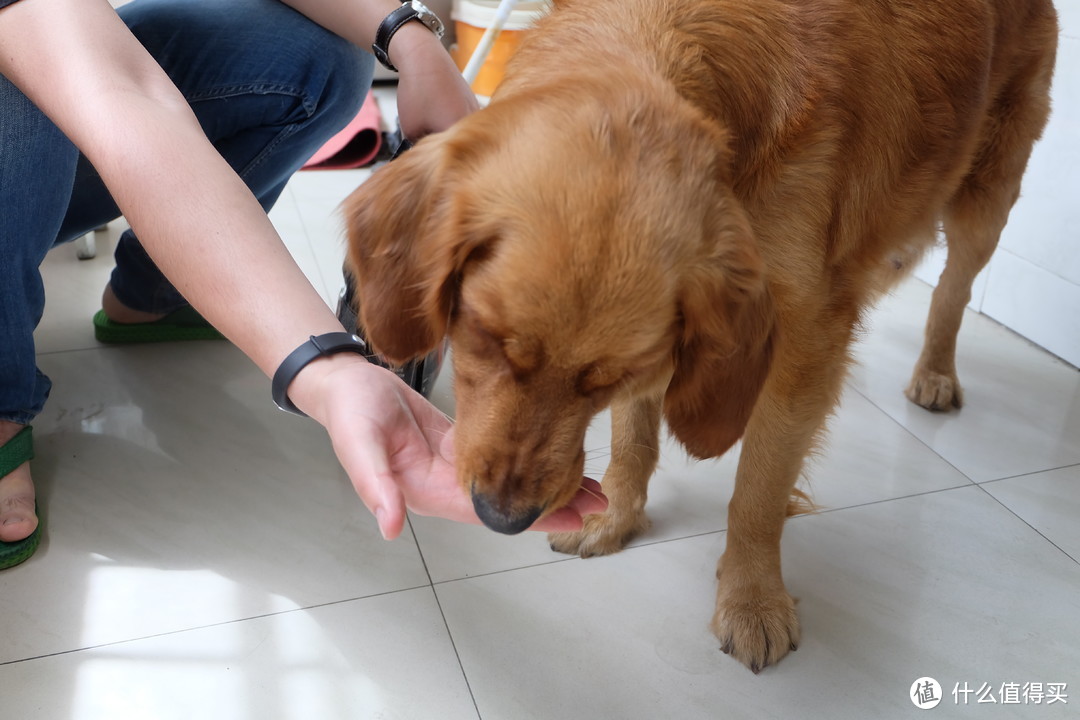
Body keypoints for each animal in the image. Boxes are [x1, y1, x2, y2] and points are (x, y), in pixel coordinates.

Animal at [343, 0, 1054, 673]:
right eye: (484, 339)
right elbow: (633, 439)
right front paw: (616, 517)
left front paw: (752, 598)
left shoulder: (802, 336)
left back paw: (935, 371)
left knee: (953, 288)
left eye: (597, 382)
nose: (500, 517)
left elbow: (760, 489)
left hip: (987, 196)